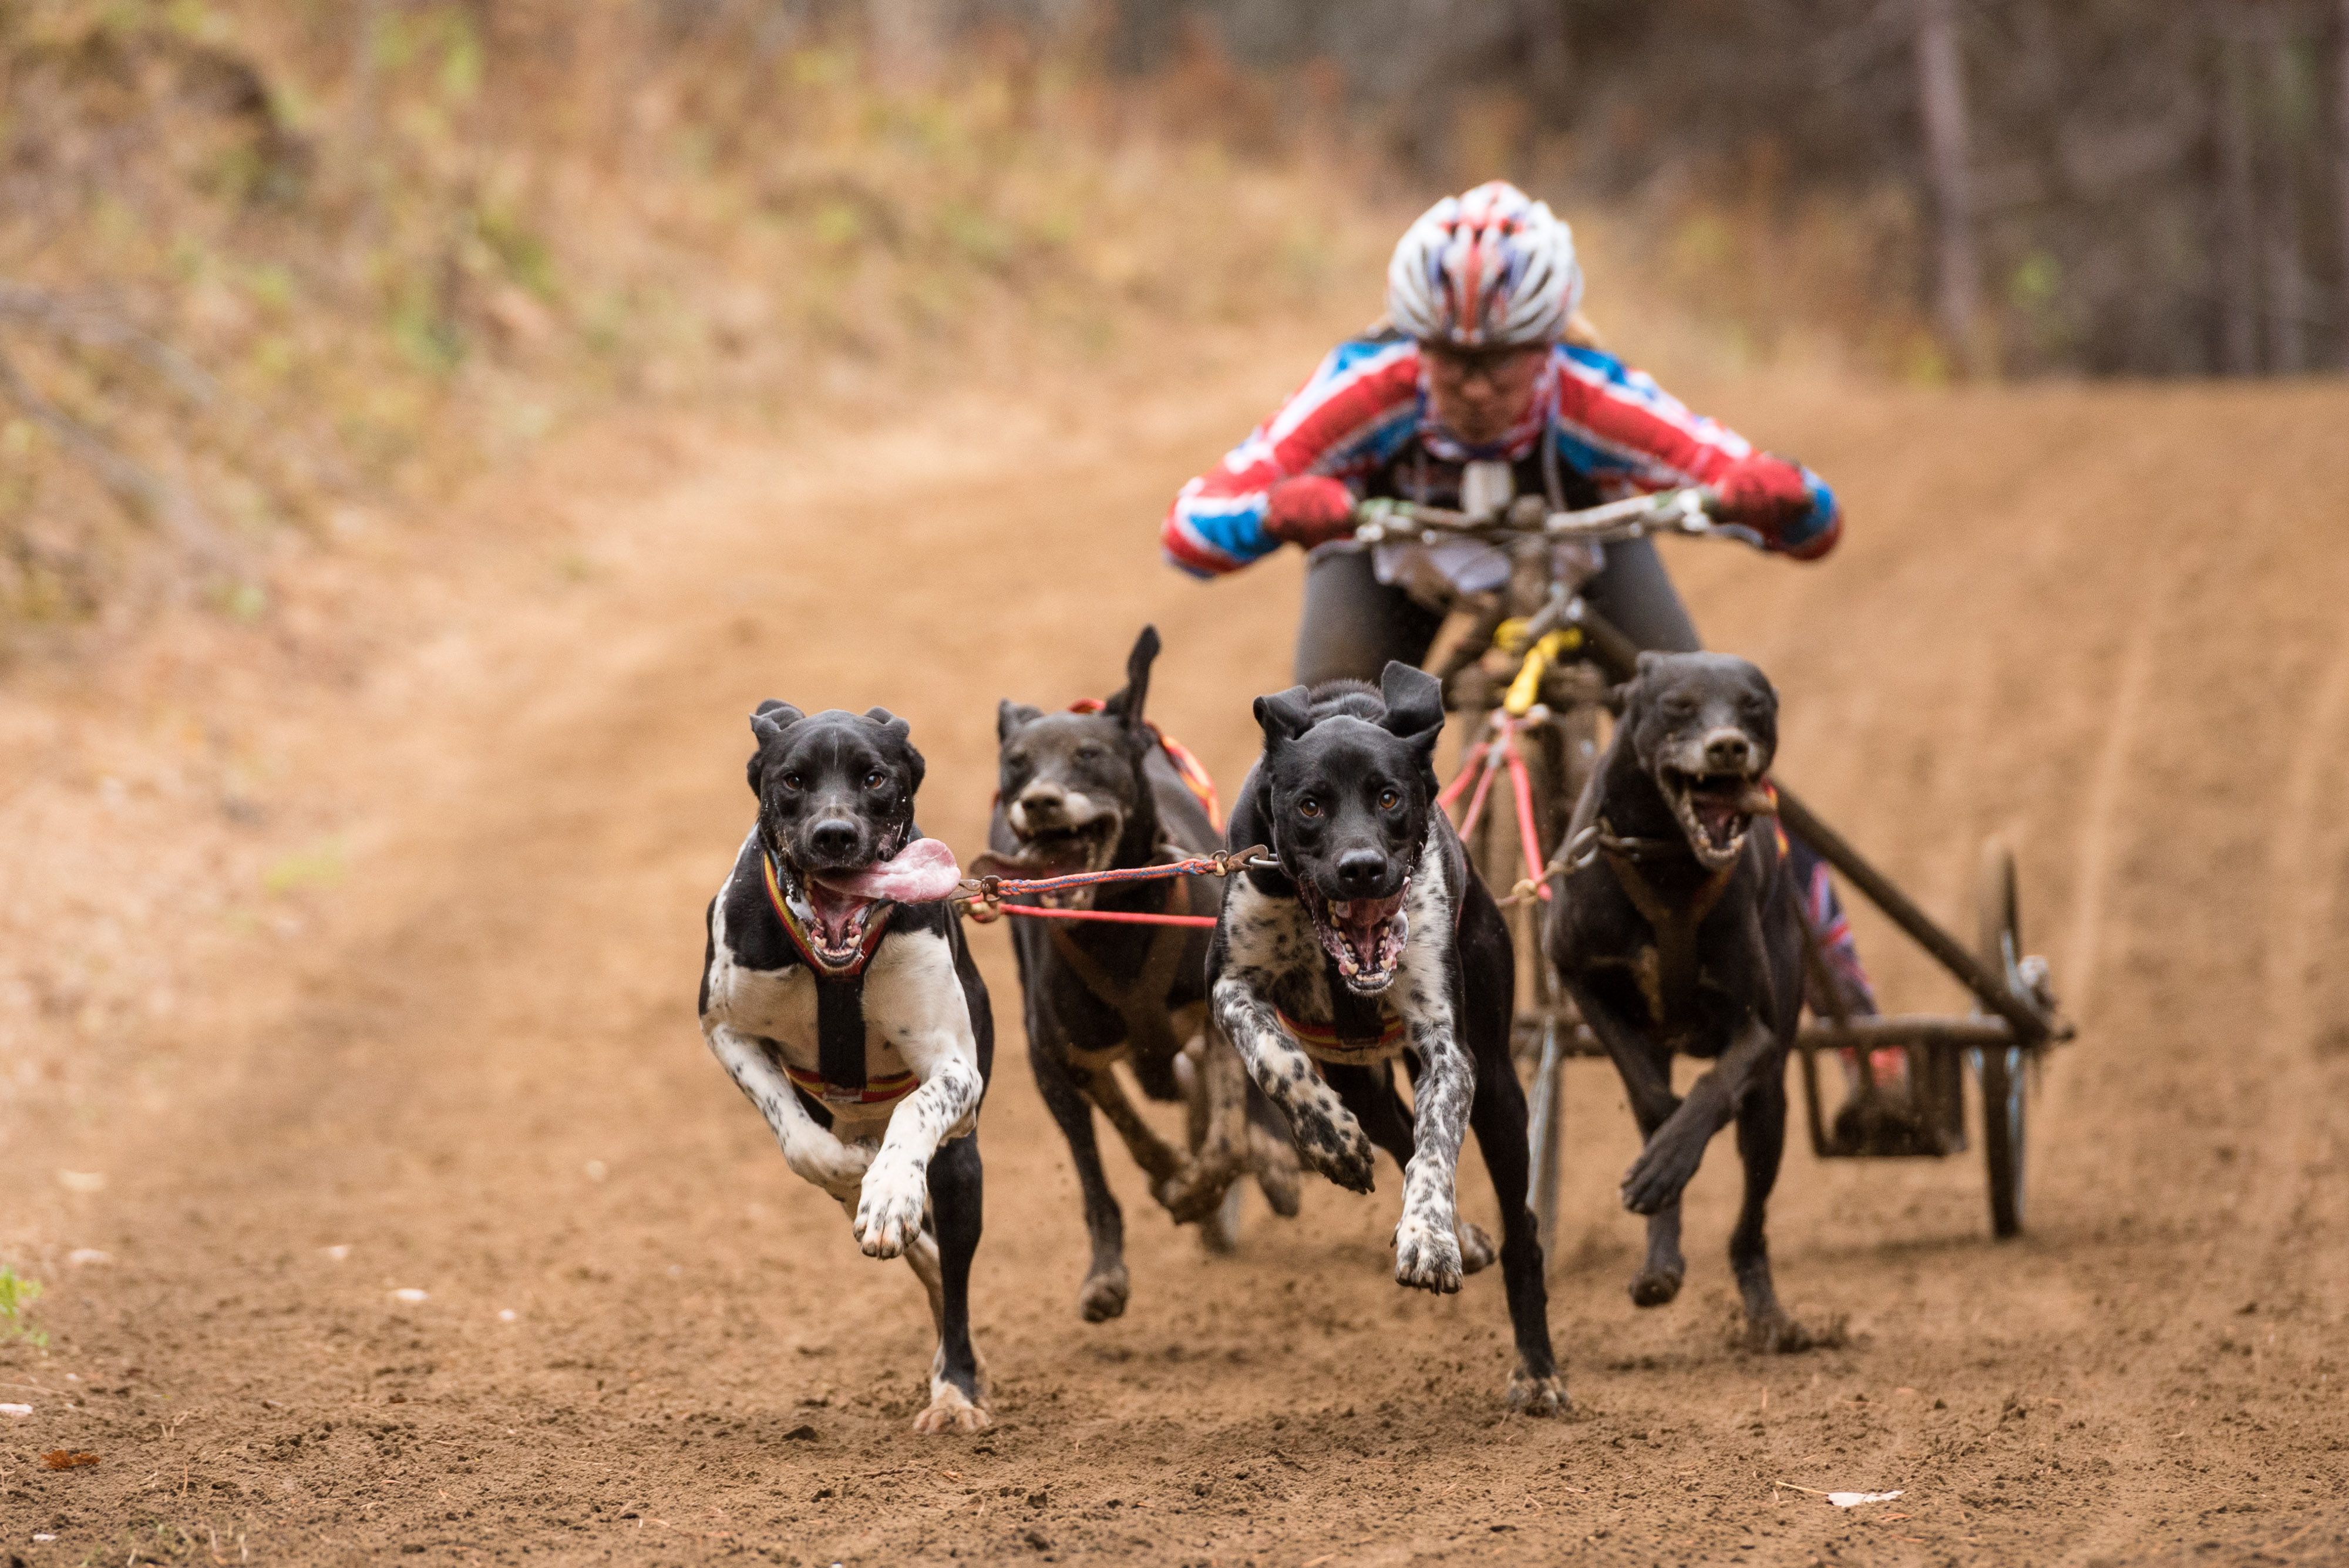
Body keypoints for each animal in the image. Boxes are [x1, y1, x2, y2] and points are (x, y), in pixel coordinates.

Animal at [691, 709, 996, 1436]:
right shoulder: (725, 1030)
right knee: (929, 1263)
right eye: (793, 779)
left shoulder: (955, 1070)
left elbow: (918, 1108)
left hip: (962, 1170)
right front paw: (857, 1172)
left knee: (955, 1284)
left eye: (874, 777)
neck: (834, 972)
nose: (835, 835)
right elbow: (803, 1144)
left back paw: (955, 1388)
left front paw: (888, 1191)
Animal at [982, 624, 1297, 1324]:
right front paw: (1117, 1259)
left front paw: (1206, 1184)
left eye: (1089, 754)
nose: (1039, 801)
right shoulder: (1059, 1061)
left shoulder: (1215, 1016)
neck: (1113, 929)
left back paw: (1273, 1162)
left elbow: (1228, 1139)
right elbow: (1118, 1153)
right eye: (1016, 761)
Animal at [1203, 662, 1569, 1418]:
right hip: (1358, 1076)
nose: (1362, 868)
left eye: (1389, 797)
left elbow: (1434, 1154)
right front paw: (1331, 1142)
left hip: (1500, 1090)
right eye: (1310, 805)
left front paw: (1430, 1239)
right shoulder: (1231, 984)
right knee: (1393, 1129)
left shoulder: (1448, 1050)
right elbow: (1273, 1056)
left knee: (1518, 1226)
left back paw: (1536, 1368)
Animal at [1550, 648, 1804, 1352]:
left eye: (1752, 705)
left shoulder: (1759, 1031)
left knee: (1751, 1222)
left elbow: (1714, 1087)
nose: (1727, 747)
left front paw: (1671, 1156)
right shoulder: (1578, 976)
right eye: (1679, 706)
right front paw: (1662, 1158)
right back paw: (1659, 1262)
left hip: (1771, 1109)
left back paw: (1768, 1314)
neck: (1667, 861)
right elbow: (1652, 1098)